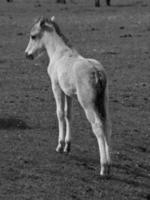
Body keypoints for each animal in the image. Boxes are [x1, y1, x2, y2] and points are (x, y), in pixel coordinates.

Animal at [24, 16, 111, 177]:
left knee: (98, 126)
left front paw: (59, 145)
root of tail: (96, 72)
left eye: (33, 36)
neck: (60, 53)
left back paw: (104, 167)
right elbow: (68, 115)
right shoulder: (68, 93)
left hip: (88, 104)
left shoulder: (56, 87)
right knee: (107, 125)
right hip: (103, 101)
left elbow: (59, 113)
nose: (27, 54)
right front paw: (67, 146)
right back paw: (109, 164)